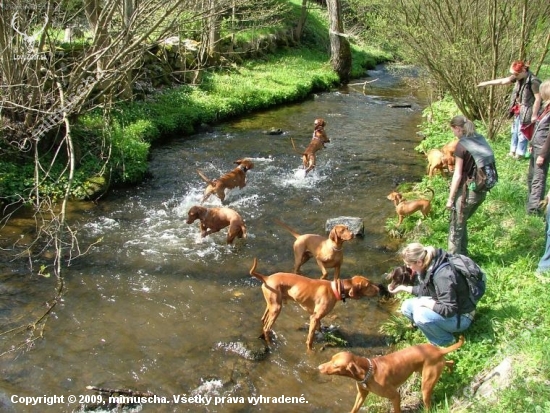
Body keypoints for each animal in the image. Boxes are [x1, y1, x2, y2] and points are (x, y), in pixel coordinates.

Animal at [251, 256, 384, 350]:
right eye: (368, 285)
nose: (380, 288)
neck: (335, 289)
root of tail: (266, 278)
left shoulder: (316, 316)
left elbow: (320, 328)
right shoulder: (314, 317)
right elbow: (310, 338)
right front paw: (310, 350)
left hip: (272, 305)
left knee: (263, 320)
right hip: (276, 308)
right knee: (267, 328)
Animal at [320, 334, 466, 412]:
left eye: (335, 365)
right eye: (331, 358)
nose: (319, 367)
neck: (368, 372)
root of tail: (438, 350)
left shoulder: (395, 396)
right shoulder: (361, 394)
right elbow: (354, 409)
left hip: (426, 386)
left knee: (428, 406)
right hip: (428, 369)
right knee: (451, 361)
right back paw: (451, 372)